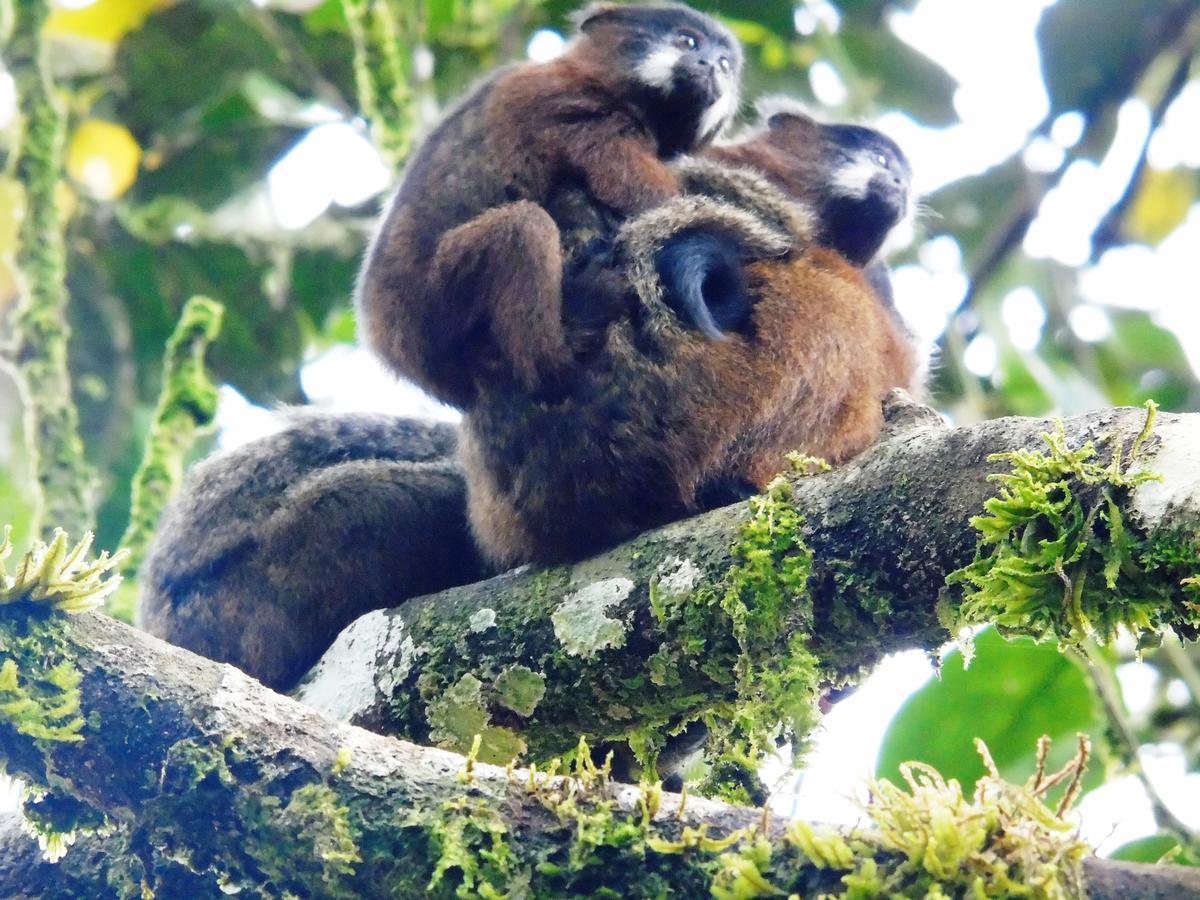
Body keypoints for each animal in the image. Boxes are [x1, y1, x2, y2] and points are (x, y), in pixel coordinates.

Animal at [355, 0, 739, 408]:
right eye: (688, 42)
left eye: (726, 63)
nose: (713, 66)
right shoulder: (580, 110)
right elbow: (646, 199)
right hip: (434, 307)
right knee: (524, 227)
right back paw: (563, 346)